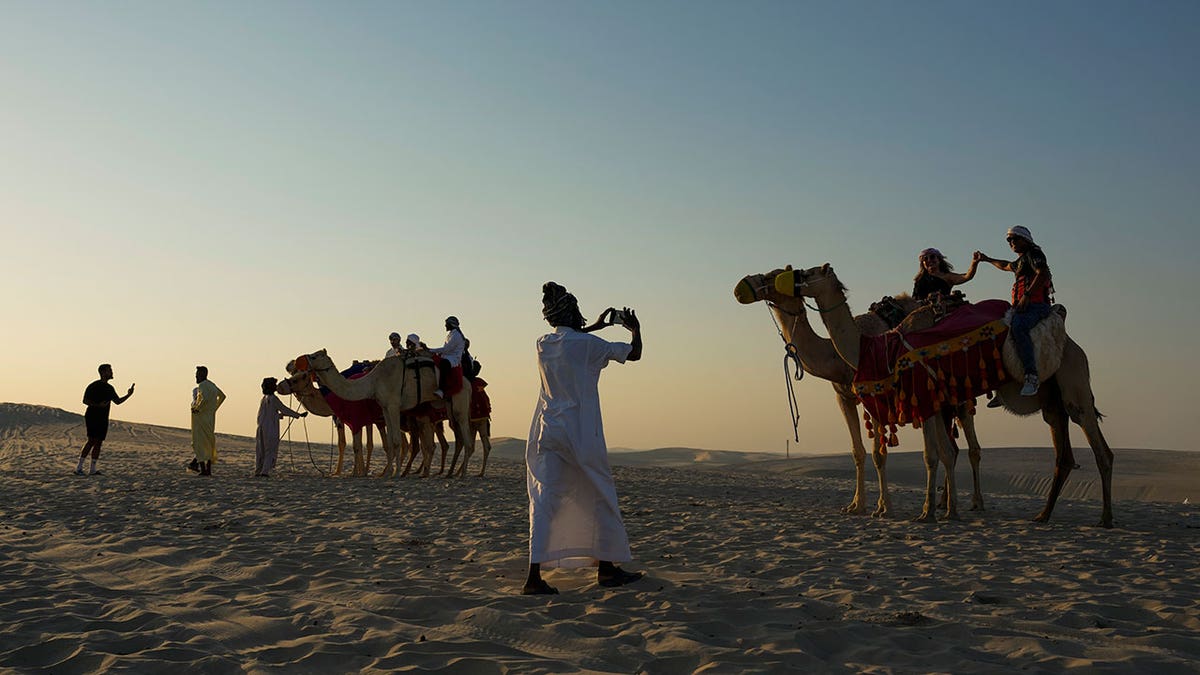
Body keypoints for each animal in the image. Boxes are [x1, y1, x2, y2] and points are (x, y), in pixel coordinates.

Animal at [729, 265, 984, 511]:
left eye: (773, 275)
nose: (742, 285)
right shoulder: (843, 397)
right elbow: (857, 452)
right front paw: (856, 505)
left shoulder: (877, 395)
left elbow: (879, 454)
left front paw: (884, 507)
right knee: (951, 447)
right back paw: (944, 503)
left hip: (958, 393)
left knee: (971, 446)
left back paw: (975, 502)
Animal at [777, 263, 1113, 526]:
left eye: (805, 272)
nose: (778, 279)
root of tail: (1074, 344)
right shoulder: (856, 396)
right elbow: (868, 452)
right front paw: (862, 506)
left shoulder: (891, 396)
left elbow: (896, 454)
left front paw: (894, 510)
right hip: (1050, 400)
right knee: (1060, 453)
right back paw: (1038, 514)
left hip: (1071, 386)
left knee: (1095, 448)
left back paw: (1102, 518)